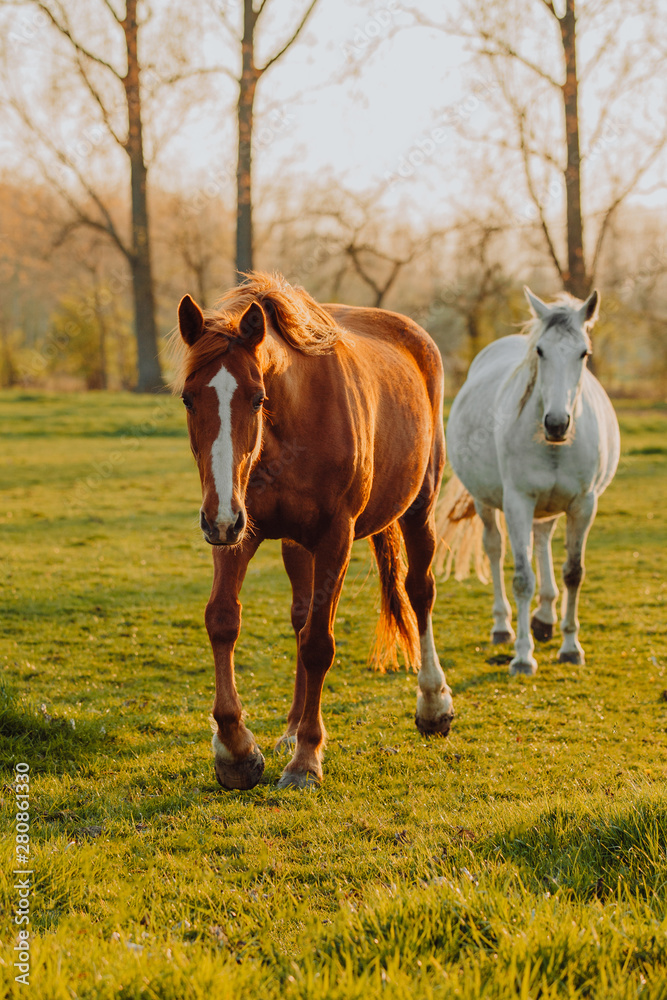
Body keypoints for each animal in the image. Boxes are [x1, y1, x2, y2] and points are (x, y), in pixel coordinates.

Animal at [174, 272, 453, 790]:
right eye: (188, 397)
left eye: (257, 397)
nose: (218, 518)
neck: (292, 425)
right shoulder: (237, 528)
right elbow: (223, 620)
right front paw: (236, 748)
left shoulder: (333, 539)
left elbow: (319, 644)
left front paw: (306, 759)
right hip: (286, 541)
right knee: (301, 616)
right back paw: (288, 729)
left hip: (419, 506)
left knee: (419, 592)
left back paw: (432, 703)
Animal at [436, 288, 620, 676]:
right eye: (540, 351)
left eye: (584, 353)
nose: (557, 424)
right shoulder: (518, 503)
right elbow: (522, 579)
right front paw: (522, 656)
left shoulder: (584, 505)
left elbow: (573, 572)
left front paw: (570, 647)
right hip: (487, 504)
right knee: (494, 549)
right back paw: (503, 627)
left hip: (549, 506)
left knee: (542, 540)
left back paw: (546, 617)